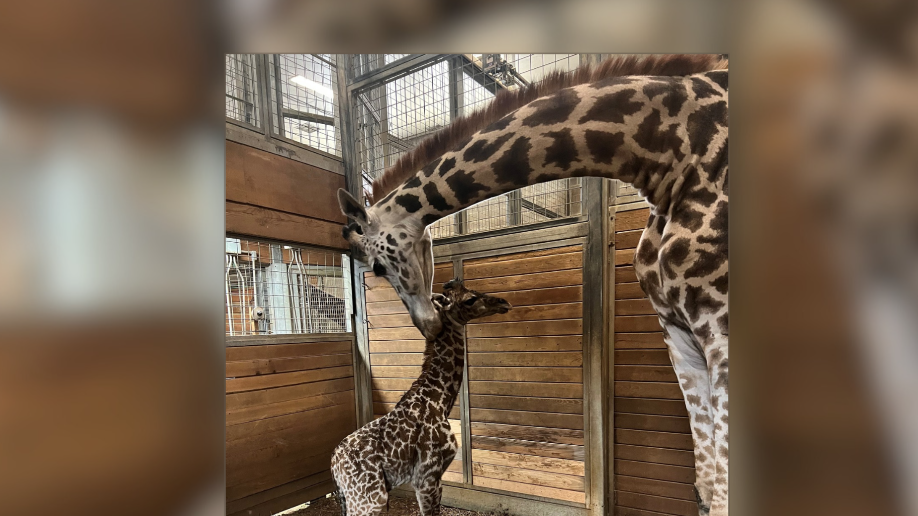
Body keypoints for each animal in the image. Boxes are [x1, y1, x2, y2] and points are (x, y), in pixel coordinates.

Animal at [331, 279, 511, 516]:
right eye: (470, 299)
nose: (504, 302)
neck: (439, 399)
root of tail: (333, 466)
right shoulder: (427, 477)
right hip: (369, 498)